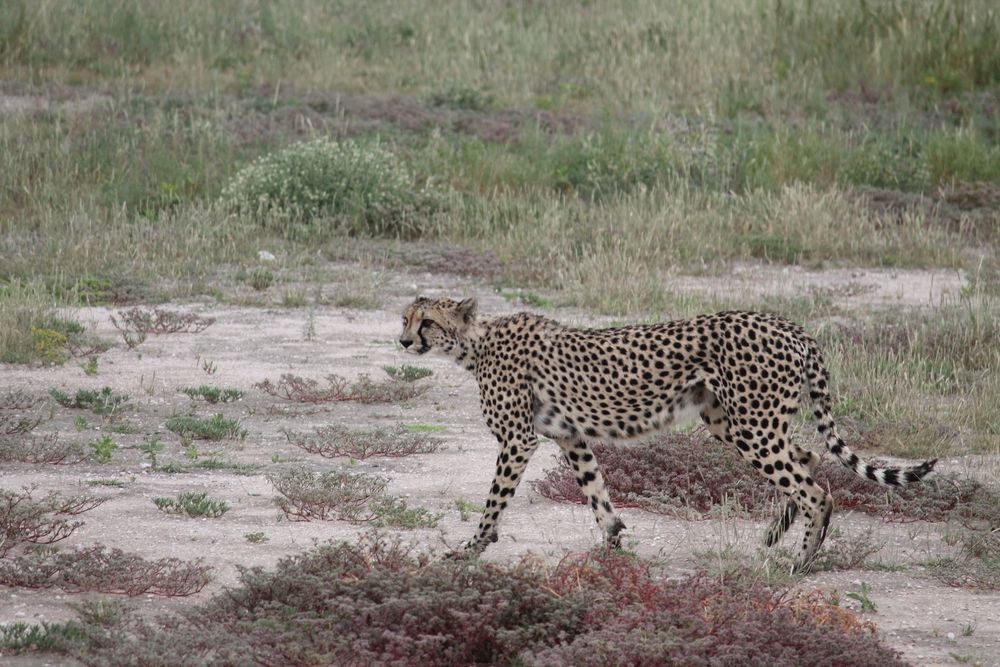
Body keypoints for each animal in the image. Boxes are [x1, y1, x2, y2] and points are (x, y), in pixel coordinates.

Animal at [398, 298, 936, 576]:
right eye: (405, 318)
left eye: (427, 322)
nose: (403, 341)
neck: (475, 342)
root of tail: (787, 324)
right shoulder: (570, 437)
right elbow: (596, 493)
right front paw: (611, 547)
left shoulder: (517, 440)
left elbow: (493, 503)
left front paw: (469, 549)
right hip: (733, 422)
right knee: (807, 457)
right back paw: (774, 536)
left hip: (752, 426)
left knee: (816, 491)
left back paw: (798, 563)